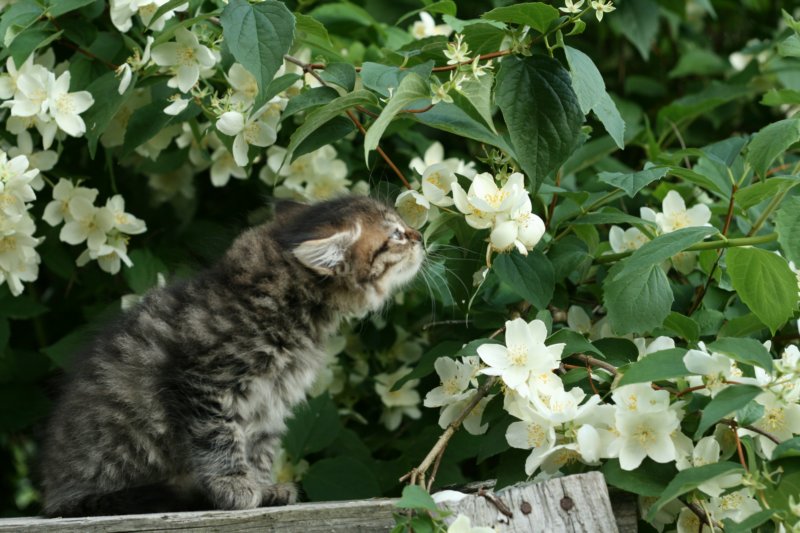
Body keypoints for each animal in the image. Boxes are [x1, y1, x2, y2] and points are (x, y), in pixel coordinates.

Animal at [39, 196, 424, 517]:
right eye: (395, 235)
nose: (420, 236)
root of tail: (54, 494)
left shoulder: (270, 402)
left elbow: (260, 447)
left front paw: (263, 486)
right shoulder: (204, 382)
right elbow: (220, 437)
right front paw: (235, 485)